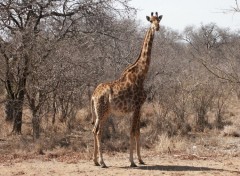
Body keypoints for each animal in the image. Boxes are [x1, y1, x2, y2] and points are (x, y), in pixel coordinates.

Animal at [91, 12, 162, 168]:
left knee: (94, 129)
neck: (141, 74)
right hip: (102, 110)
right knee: (98, 132)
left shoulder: (139, 107)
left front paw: (141, 160)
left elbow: (137, 132)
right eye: (151, 21)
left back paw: (95, 161)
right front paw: (132, 161)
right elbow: (132, 131)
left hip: (102, 112)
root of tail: (93, 96)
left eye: (159, 20)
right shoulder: (137, 106)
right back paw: (103, 162)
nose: (157, 28)